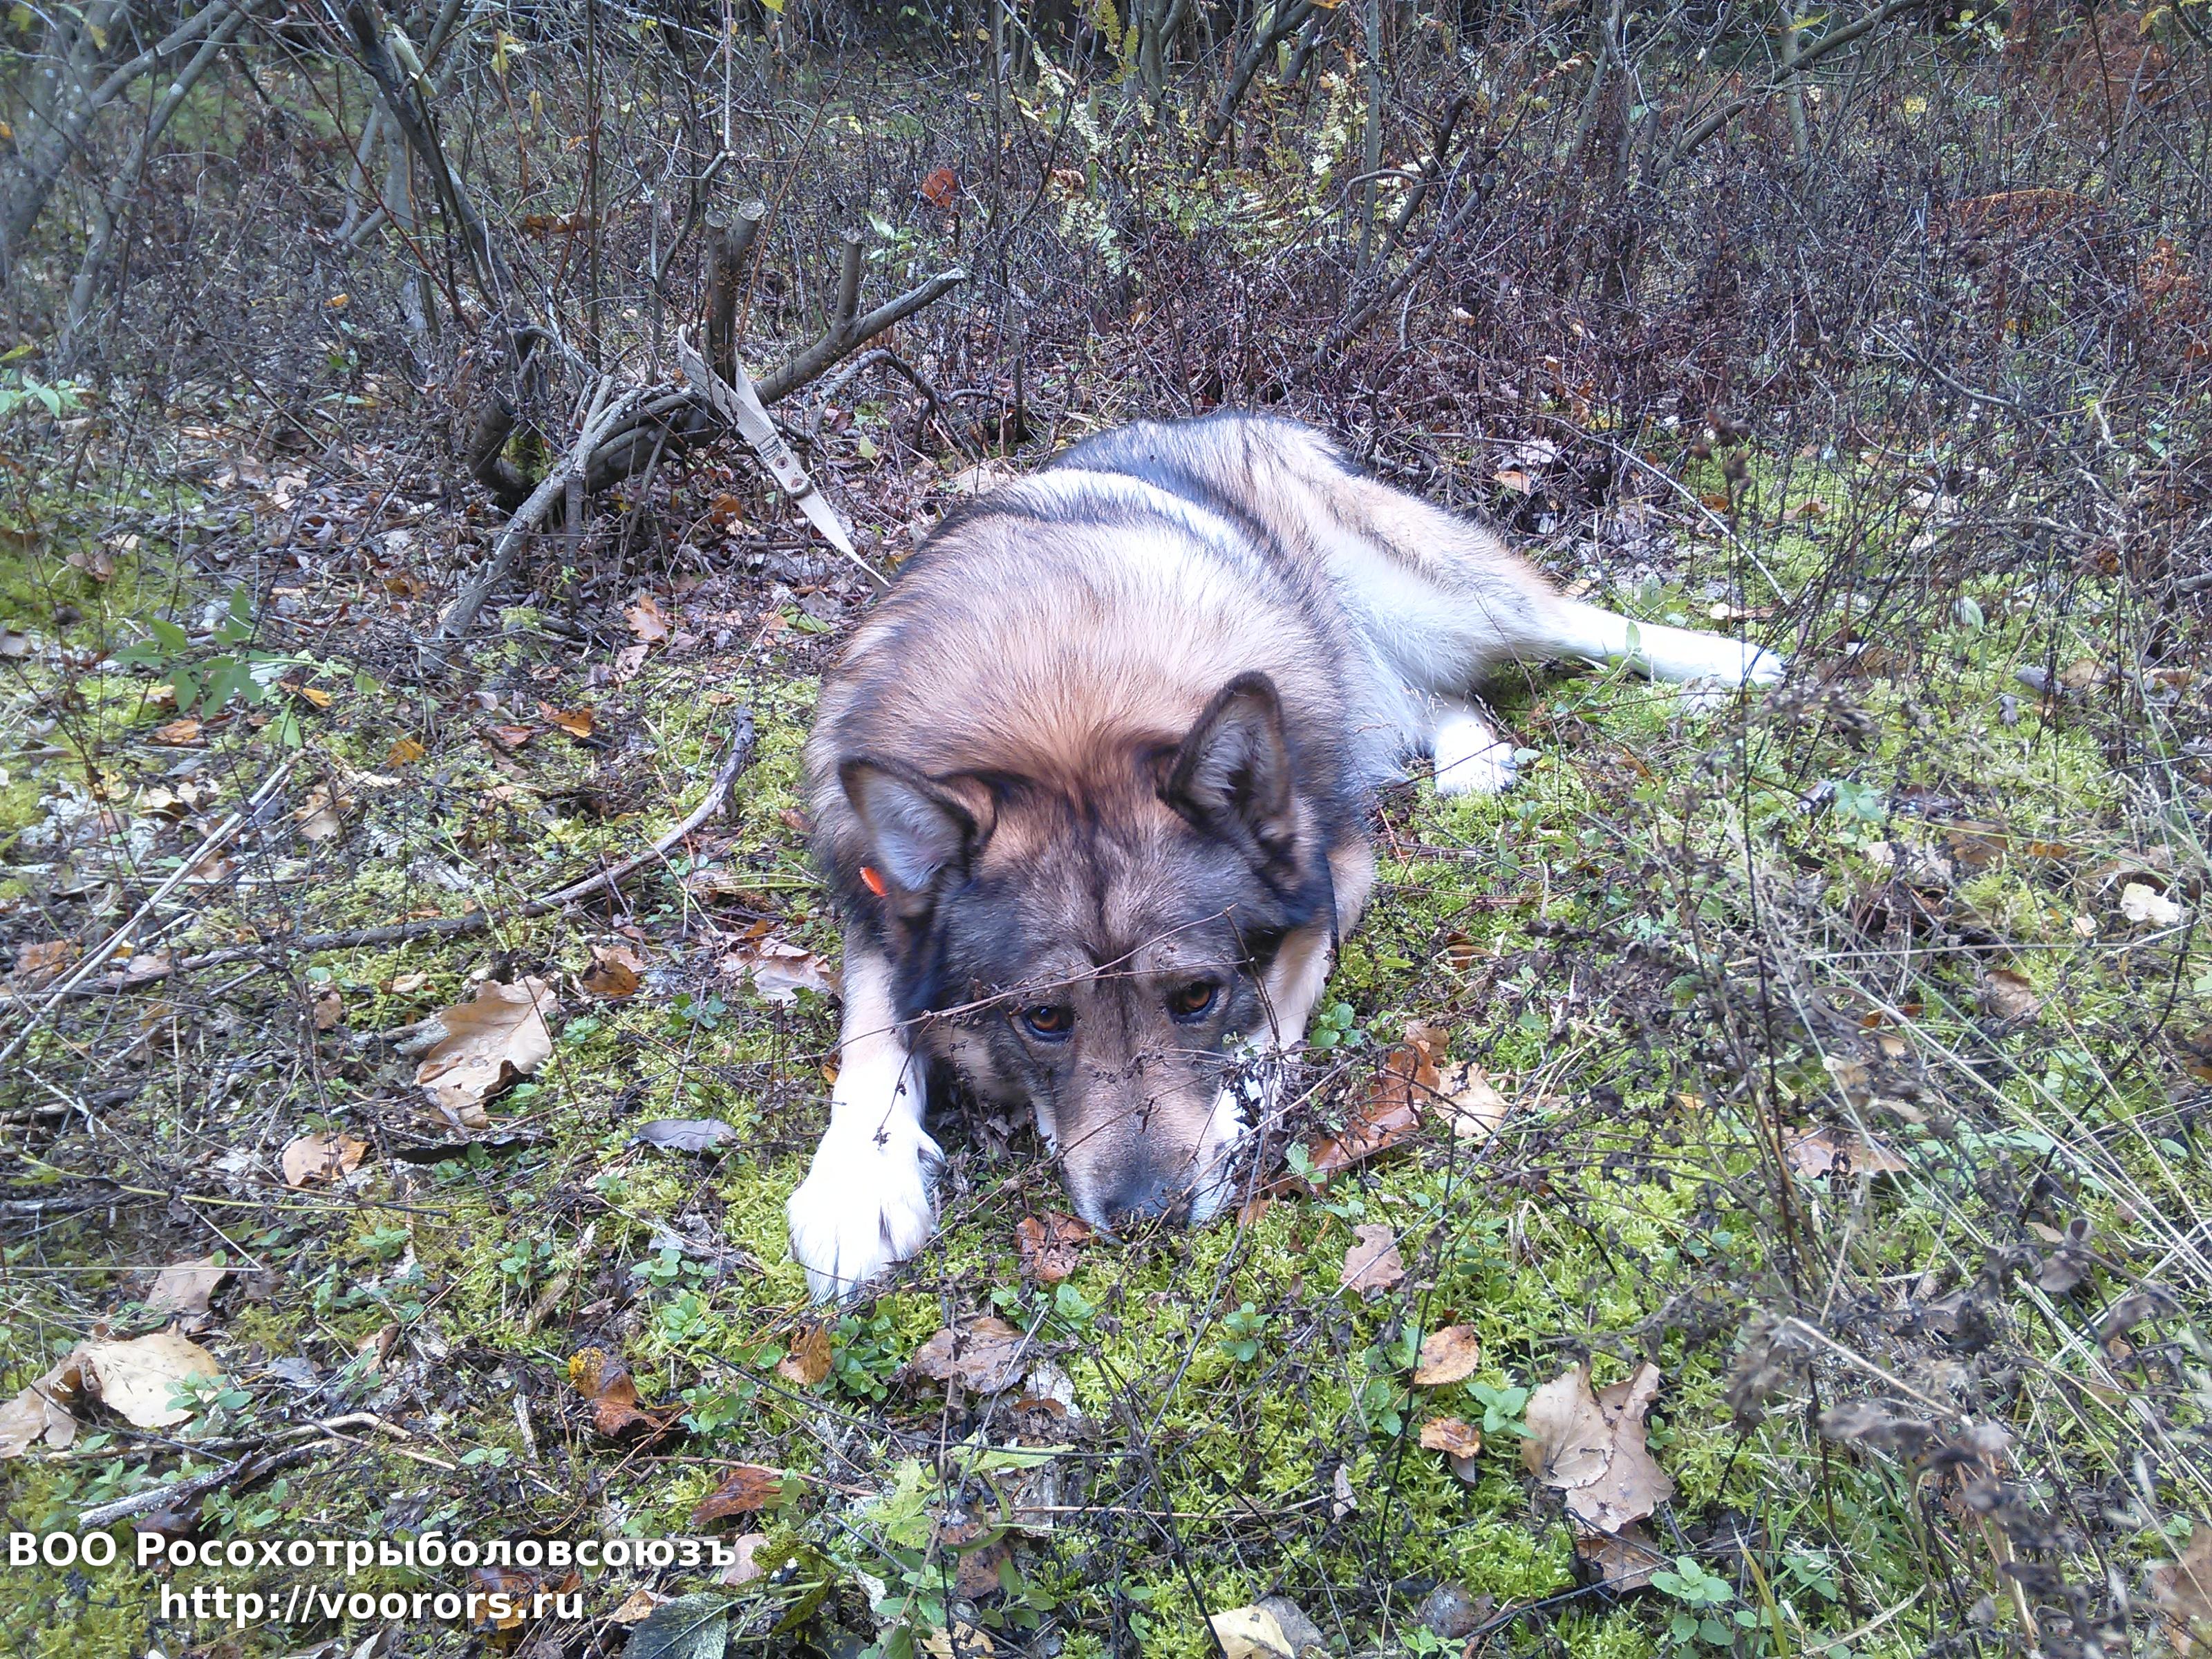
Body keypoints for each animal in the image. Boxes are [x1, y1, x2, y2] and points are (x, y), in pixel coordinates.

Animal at [785, 412, 1782, 1299]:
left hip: (1446, 602)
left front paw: (1238, 1117)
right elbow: (871, 1029)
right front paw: (856, 1180)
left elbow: (1273, 1018)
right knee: (1423, 696)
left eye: (1197, 996)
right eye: (1043, 1019)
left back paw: (1740, 661)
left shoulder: (1333, 873)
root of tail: (1241, 421)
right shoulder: (876, 909)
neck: (1064, 716)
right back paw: (1470, 757)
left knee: (1570, 620)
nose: (1146, 1217)